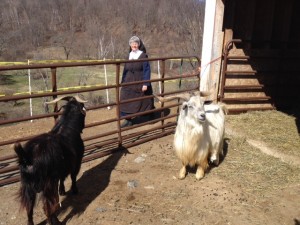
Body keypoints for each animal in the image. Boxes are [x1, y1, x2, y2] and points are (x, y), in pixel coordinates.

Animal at [14, 96, 86, 225]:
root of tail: (27, 157)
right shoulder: (77, 161)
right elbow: (73, 176)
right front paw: (75, 190)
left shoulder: (62, 169)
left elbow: (63, 178)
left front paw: (62, 190)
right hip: (48, 184)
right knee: (47, 207)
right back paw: (56, 222)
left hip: (27, 185)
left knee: (29, 207)